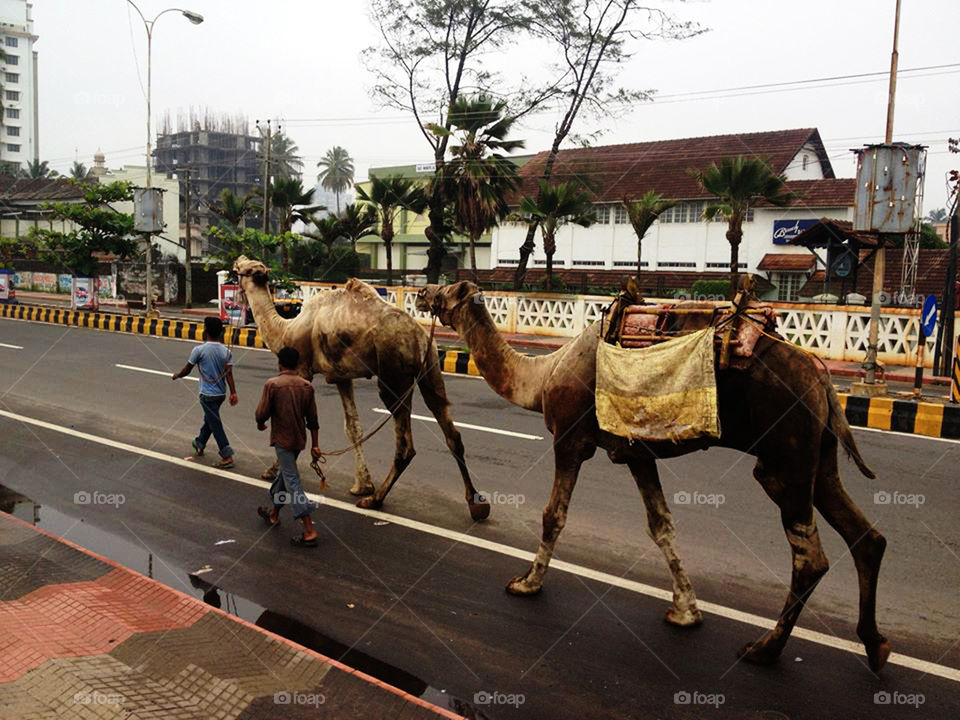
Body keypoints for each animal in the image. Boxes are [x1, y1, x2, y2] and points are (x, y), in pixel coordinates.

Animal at [231, 256, 488, 520]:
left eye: (243, 269)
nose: (238, 260)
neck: (286, 330)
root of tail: (421, 338)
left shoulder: (302, 368)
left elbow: (295, 423)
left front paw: (271, 471)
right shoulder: (341, 377)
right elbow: (353, 426)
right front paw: (362, 484)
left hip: (394, 377)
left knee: (406, 445)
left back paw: (375, 500)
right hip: (432, 372)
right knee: (451, 431)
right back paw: (477, 504)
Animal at [420, 278, 892, 672]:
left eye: (447, 290)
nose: (424, 294)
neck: (541, 378)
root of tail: (821, 377)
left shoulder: (570, 440)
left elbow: (553, 516)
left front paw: (526, 583)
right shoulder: (637, 453)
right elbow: (661, 524)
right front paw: (685, 612)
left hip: (784, 452)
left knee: (809, 555)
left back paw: (765, 649)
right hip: (819, 454)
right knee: (865, 535)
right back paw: (875, 646)